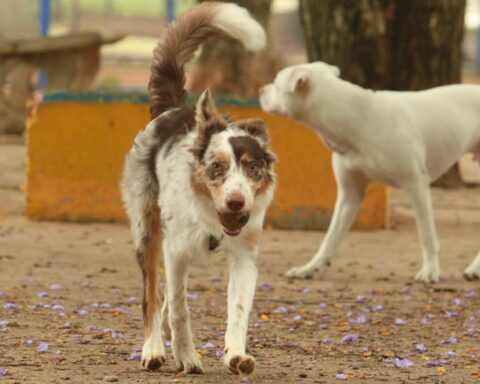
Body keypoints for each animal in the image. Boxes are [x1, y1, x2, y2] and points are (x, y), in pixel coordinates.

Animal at [122, 2, 276, 376]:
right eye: (216, 167)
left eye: (252, 167)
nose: (236, 202)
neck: (211, 218)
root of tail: (173, 108)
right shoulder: (175, 251)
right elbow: (179, 308)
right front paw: (187, 357)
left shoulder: (244, 258)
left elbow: (238, 312)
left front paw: (236, 355)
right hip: (147, 231)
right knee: (152, 297)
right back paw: (153, 348)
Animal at [260, 62, 478, 282]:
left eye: (276, 82)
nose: (261, 89)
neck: (358, 118)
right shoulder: (349, 194)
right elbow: (330, 237)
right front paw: (309, 268)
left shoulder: (417, 186)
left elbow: (427, 235)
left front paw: (430, 270)